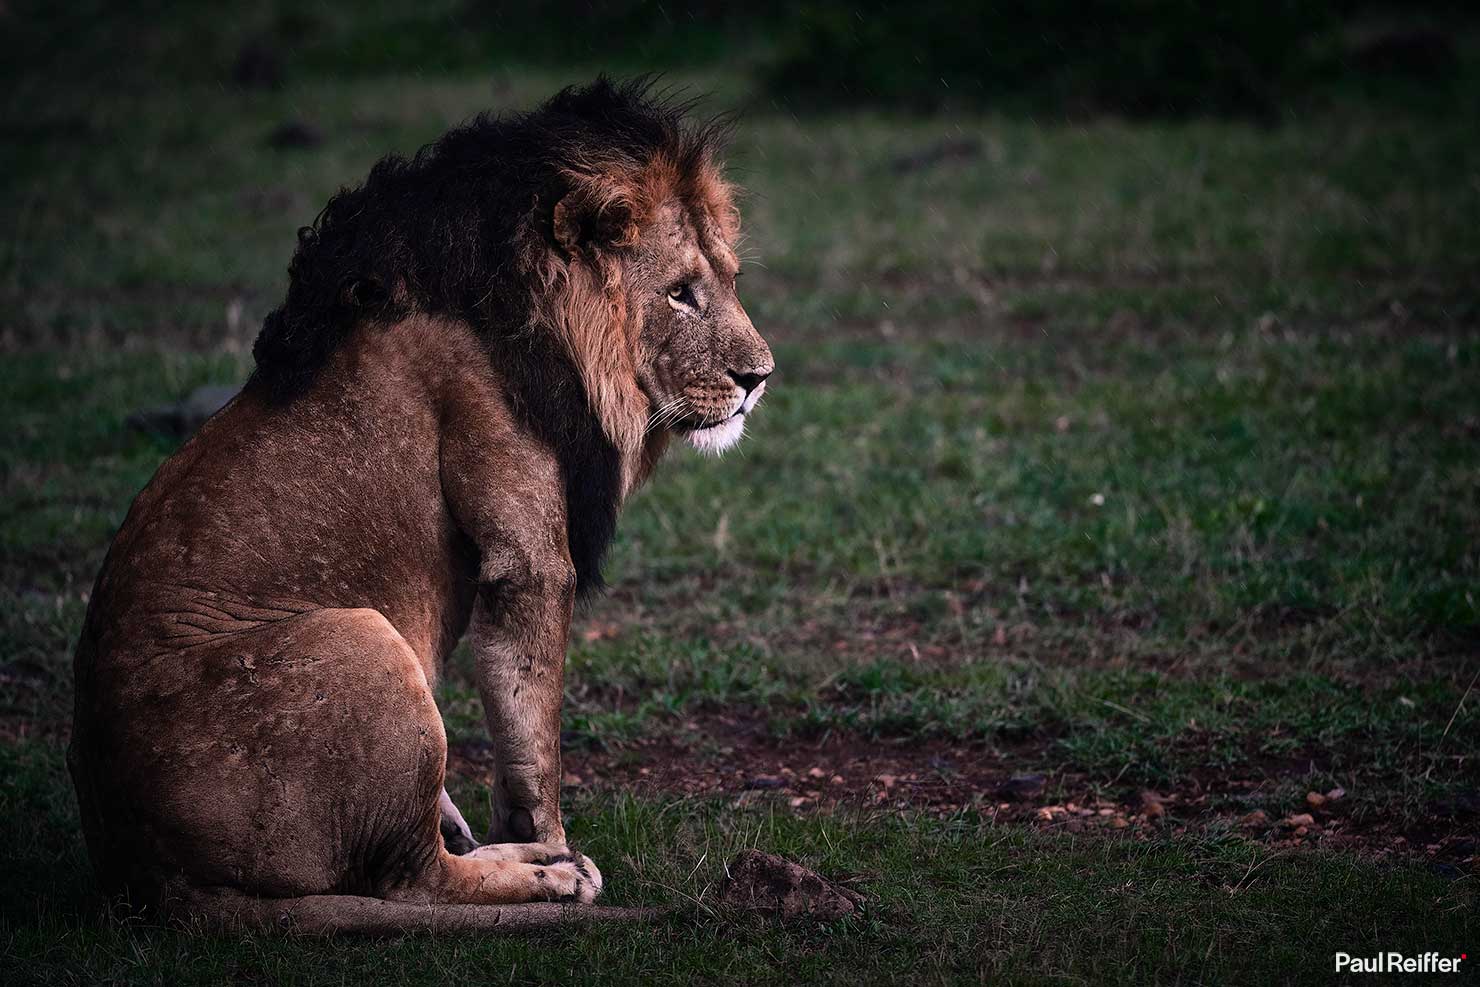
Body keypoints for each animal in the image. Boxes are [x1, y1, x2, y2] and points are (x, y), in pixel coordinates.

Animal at [66, 79, 773, 933]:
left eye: (728, 280)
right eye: (679, 292)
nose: (760, 376)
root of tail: (144, 874)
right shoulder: (526, 554)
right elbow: (533, 733)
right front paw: (548, 838)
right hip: (359, 640)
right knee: (412, 879)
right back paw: (542, 873)